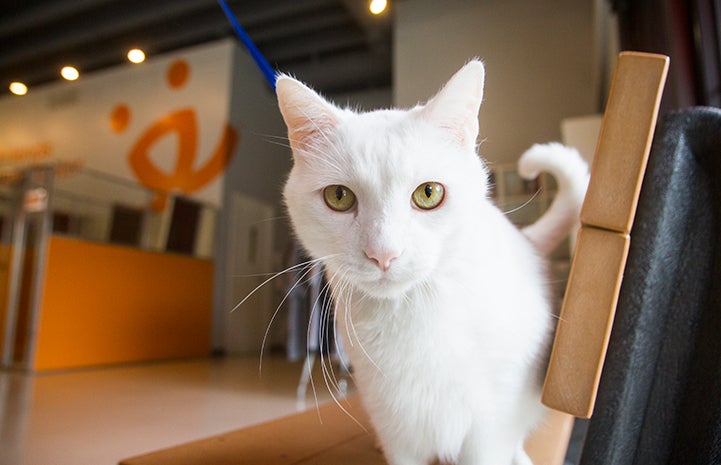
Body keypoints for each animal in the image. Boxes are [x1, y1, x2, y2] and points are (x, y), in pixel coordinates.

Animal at [274, 60, 584, 464]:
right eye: (338, 196)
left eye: (429, 193)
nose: (383, 252)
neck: (412, 314)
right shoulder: (393, 420)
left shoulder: (491, 423)